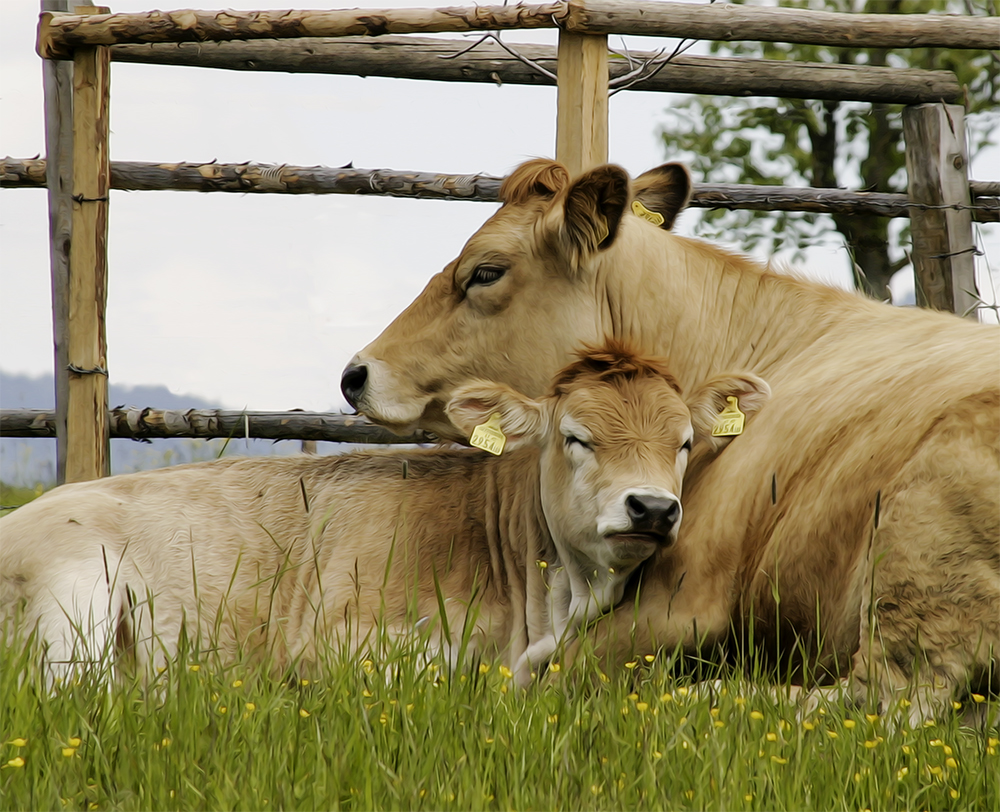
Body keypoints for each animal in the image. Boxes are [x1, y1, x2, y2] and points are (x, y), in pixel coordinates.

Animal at [344, 159, 1000, 724]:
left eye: (484, 272)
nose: (356, 373)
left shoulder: (686, 601)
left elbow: (552, 670)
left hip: (918, 563)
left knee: (870, 702)